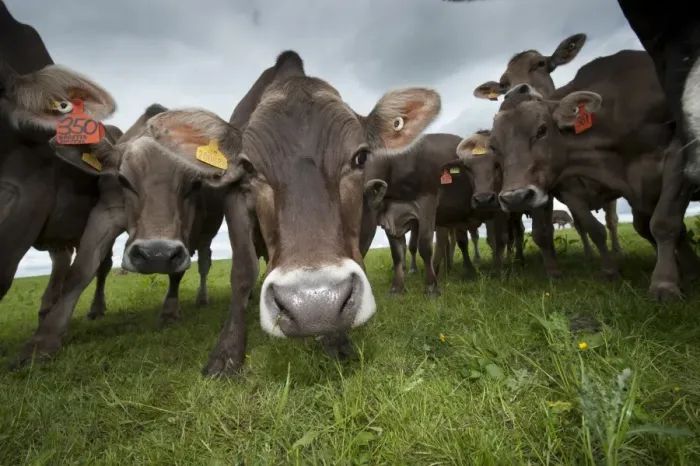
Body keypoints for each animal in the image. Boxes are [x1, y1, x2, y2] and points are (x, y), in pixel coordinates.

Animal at [14, 50, 441, 376]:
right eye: (249, 167)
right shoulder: (235, 201)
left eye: (360, 157)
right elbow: (241, 273)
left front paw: (335, 338)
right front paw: (227, 353)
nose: (313, 305)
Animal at [472, 33, 623, 258]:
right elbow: (547, 232)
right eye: (503, 84)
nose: (516, 92)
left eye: (540, 64)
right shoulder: (555, 192)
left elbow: (609, 222)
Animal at [491, 78, 700, 300]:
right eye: (493, 147)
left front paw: (667, 283)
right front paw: (610, 271)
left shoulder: (676, 158)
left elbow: (663, 222)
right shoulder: (570, 194)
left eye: (541, 130)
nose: (515, 198)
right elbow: (594, 229)